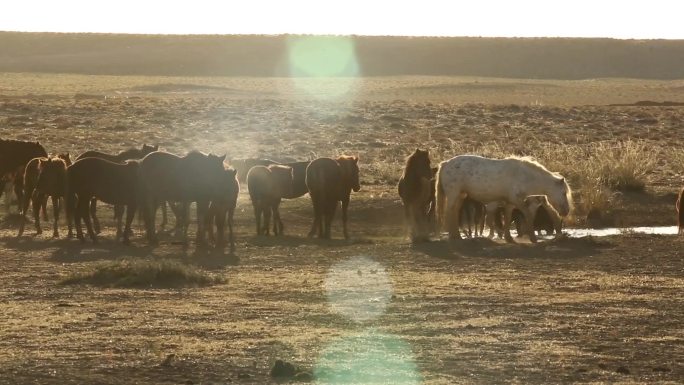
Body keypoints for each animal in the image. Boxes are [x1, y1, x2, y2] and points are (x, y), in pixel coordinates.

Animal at [438, 154, 572, 242]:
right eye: (563, 193)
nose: (566, 211)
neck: (524, 175)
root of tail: (446, 163)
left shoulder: (510, 203)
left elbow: (507, 218)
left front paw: (508, 238)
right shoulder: (518, 201)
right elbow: (528, 215)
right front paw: (533, 238)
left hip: (460, 196)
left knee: (455, 213)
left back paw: (457, 236)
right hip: (453, 194)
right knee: (450, 213)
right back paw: (454, 236)